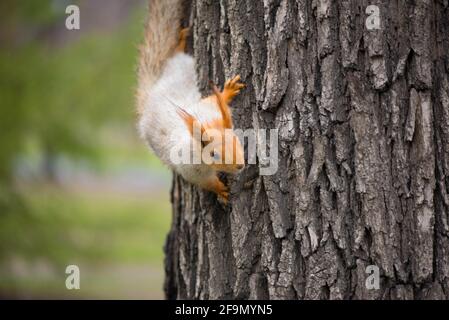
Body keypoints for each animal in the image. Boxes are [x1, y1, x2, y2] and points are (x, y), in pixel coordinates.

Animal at [136, 0, 243, 202]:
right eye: (214, 154)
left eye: (237, 139)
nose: (240, 166)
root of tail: (152, 93)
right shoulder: (189, 167)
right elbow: (204, 182)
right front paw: (220, 189)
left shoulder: (208, 109)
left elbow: (213, 99)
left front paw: (227, 92)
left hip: (181, 66)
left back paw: (182, 40)